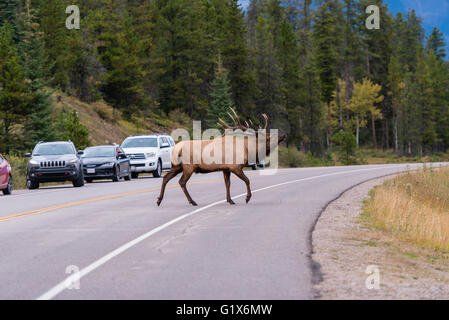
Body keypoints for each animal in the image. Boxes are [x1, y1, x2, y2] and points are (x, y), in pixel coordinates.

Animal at [156, 109, 286, 206]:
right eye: (270, 136)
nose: (284, 135)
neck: (249, 150)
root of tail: (175, 149)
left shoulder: (225, 168)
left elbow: (227, 184)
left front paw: (230, 200)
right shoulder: (235, 167)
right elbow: (247, 180)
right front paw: (247, 198)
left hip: (176, 166)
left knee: (165, 178)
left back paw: (159, 200)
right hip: (188, 167)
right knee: (181, 182)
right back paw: (192, 201)